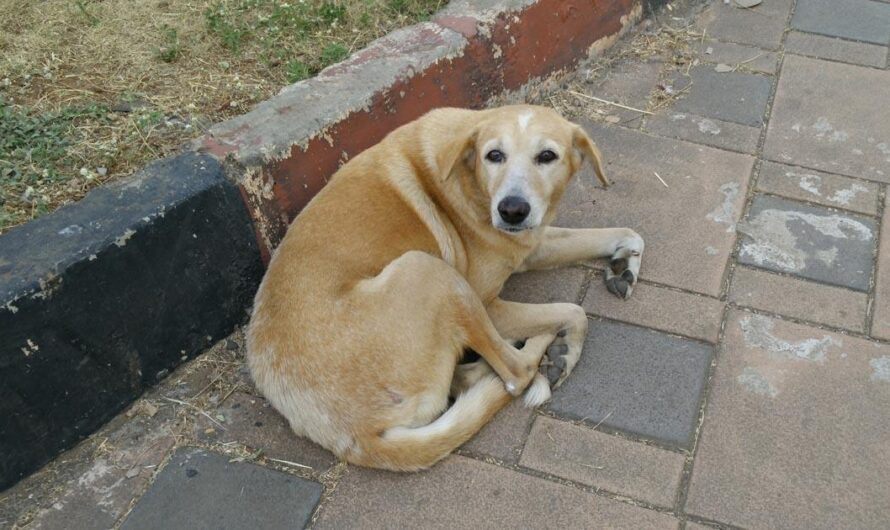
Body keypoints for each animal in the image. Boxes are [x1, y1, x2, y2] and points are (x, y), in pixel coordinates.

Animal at [246, 105, 640, 468]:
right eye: (494, 155)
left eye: (547, 156)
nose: (512, 210)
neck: (467, 169)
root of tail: (353, 437)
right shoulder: (488, 299)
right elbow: (576, 311)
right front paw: (567, 352)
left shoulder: (530, 244)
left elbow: (628, 233)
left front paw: (626, 264)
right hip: (431, 271)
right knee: (517, 373)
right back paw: (541, 349)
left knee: (468, 380)